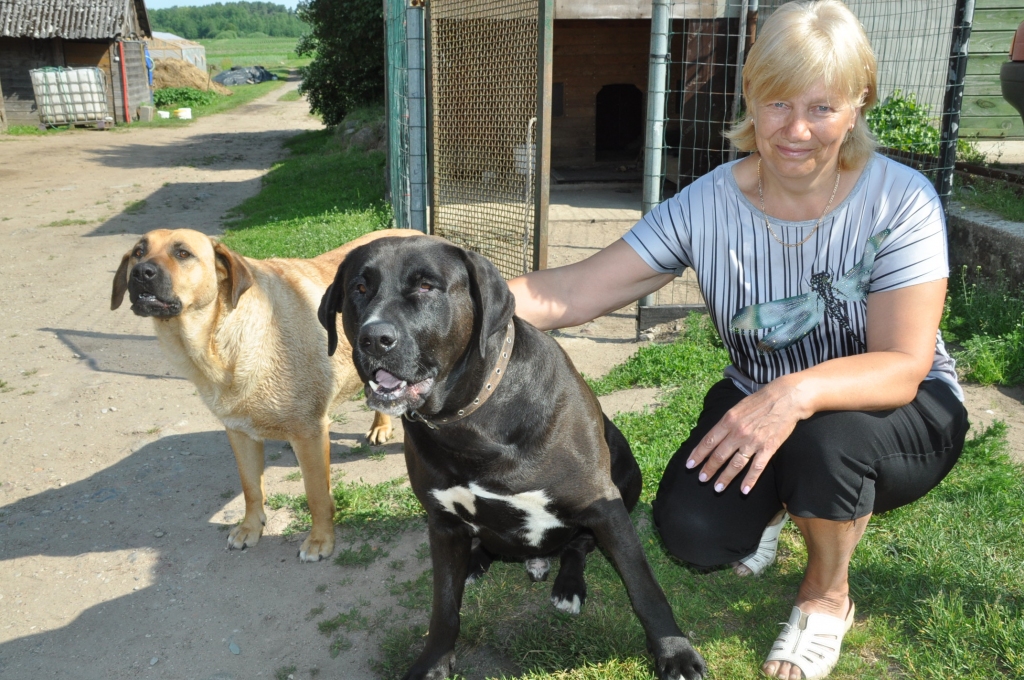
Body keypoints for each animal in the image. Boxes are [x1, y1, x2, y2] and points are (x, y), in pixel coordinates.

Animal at [111, 231, 415, 561]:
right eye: (138, 252)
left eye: (183, 253)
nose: (142, 273)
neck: (217, 342)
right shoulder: (239, 432)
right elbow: (251, 488)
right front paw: (250, 528)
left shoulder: (310, 432)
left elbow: (316, 495)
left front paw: (320, 540)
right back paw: (380, 426)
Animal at [319, 235, 704, 680]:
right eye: (359, 288)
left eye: (427, 286)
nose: (374, 339)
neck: (467, 422)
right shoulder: (443, 523)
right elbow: (443, 607)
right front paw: (434, 661)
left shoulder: (603, 505)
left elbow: (644, 587)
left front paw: (674, 652)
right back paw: (476, 562)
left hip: (627, 473)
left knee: (578, 545)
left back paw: (568, 585)